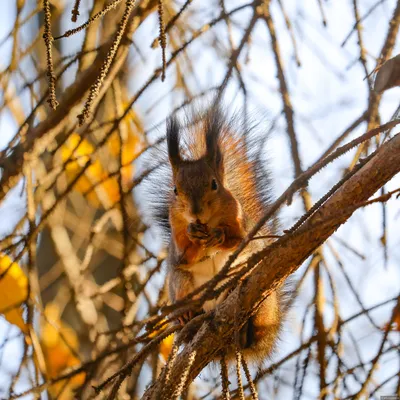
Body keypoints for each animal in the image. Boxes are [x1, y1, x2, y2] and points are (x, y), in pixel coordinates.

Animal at [145, 104, 290, 360]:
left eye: (214, 184)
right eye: (175, 190)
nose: (196, 213)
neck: (208, 222)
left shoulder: (242, 225)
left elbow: (238, 240)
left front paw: (219, 235)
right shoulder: (177, 238)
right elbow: (183, 254)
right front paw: (193, 233)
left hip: (260, 299)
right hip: (180, 282)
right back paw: (187, 318)